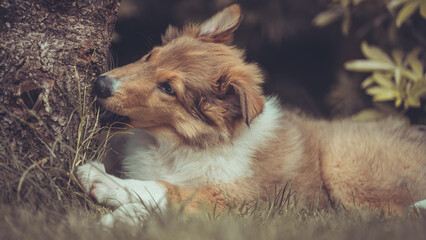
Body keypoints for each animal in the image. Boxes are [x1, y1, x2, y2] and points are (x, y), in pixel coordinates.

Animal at [76, 3, 426, 225]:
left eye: (168, 88)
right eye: (150, 55)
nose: (100, 84)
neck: (177, 146)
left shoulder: (243, 203)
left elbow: (170, 189)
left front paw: (104, 182)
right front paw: (126, 216)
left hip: (344, 164)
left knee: (385, 216)